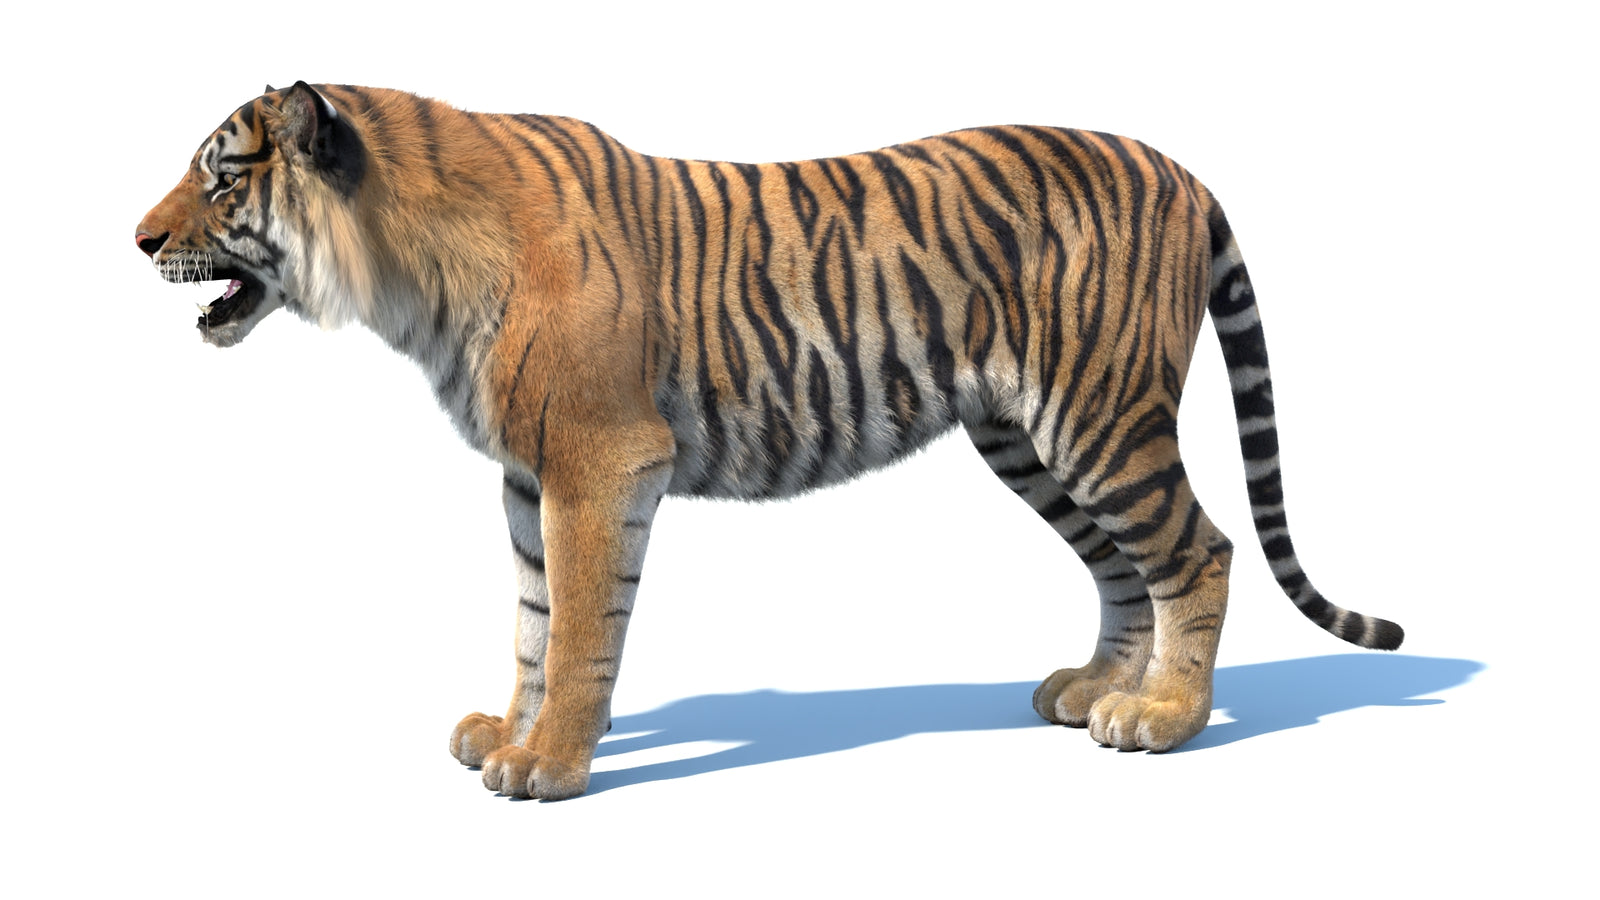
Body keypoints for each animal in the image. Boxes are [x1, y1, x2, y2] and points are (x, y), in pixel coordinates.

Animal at [136, 82, 1403, 800]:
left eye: (219, 179)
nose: (137, 238)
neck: (403, 273)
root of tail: (1179, 167)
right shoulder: (524, 476)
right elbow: (534, 621)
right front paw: (509, 726)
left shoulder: (596, 462)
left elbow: (582, 626)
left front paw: (548, 765)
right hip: (1025, 437)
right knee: (1121, 568)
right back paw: (1094, 688)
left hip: (1097, 413)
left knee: (1197, 551)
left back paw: (1162, 720)